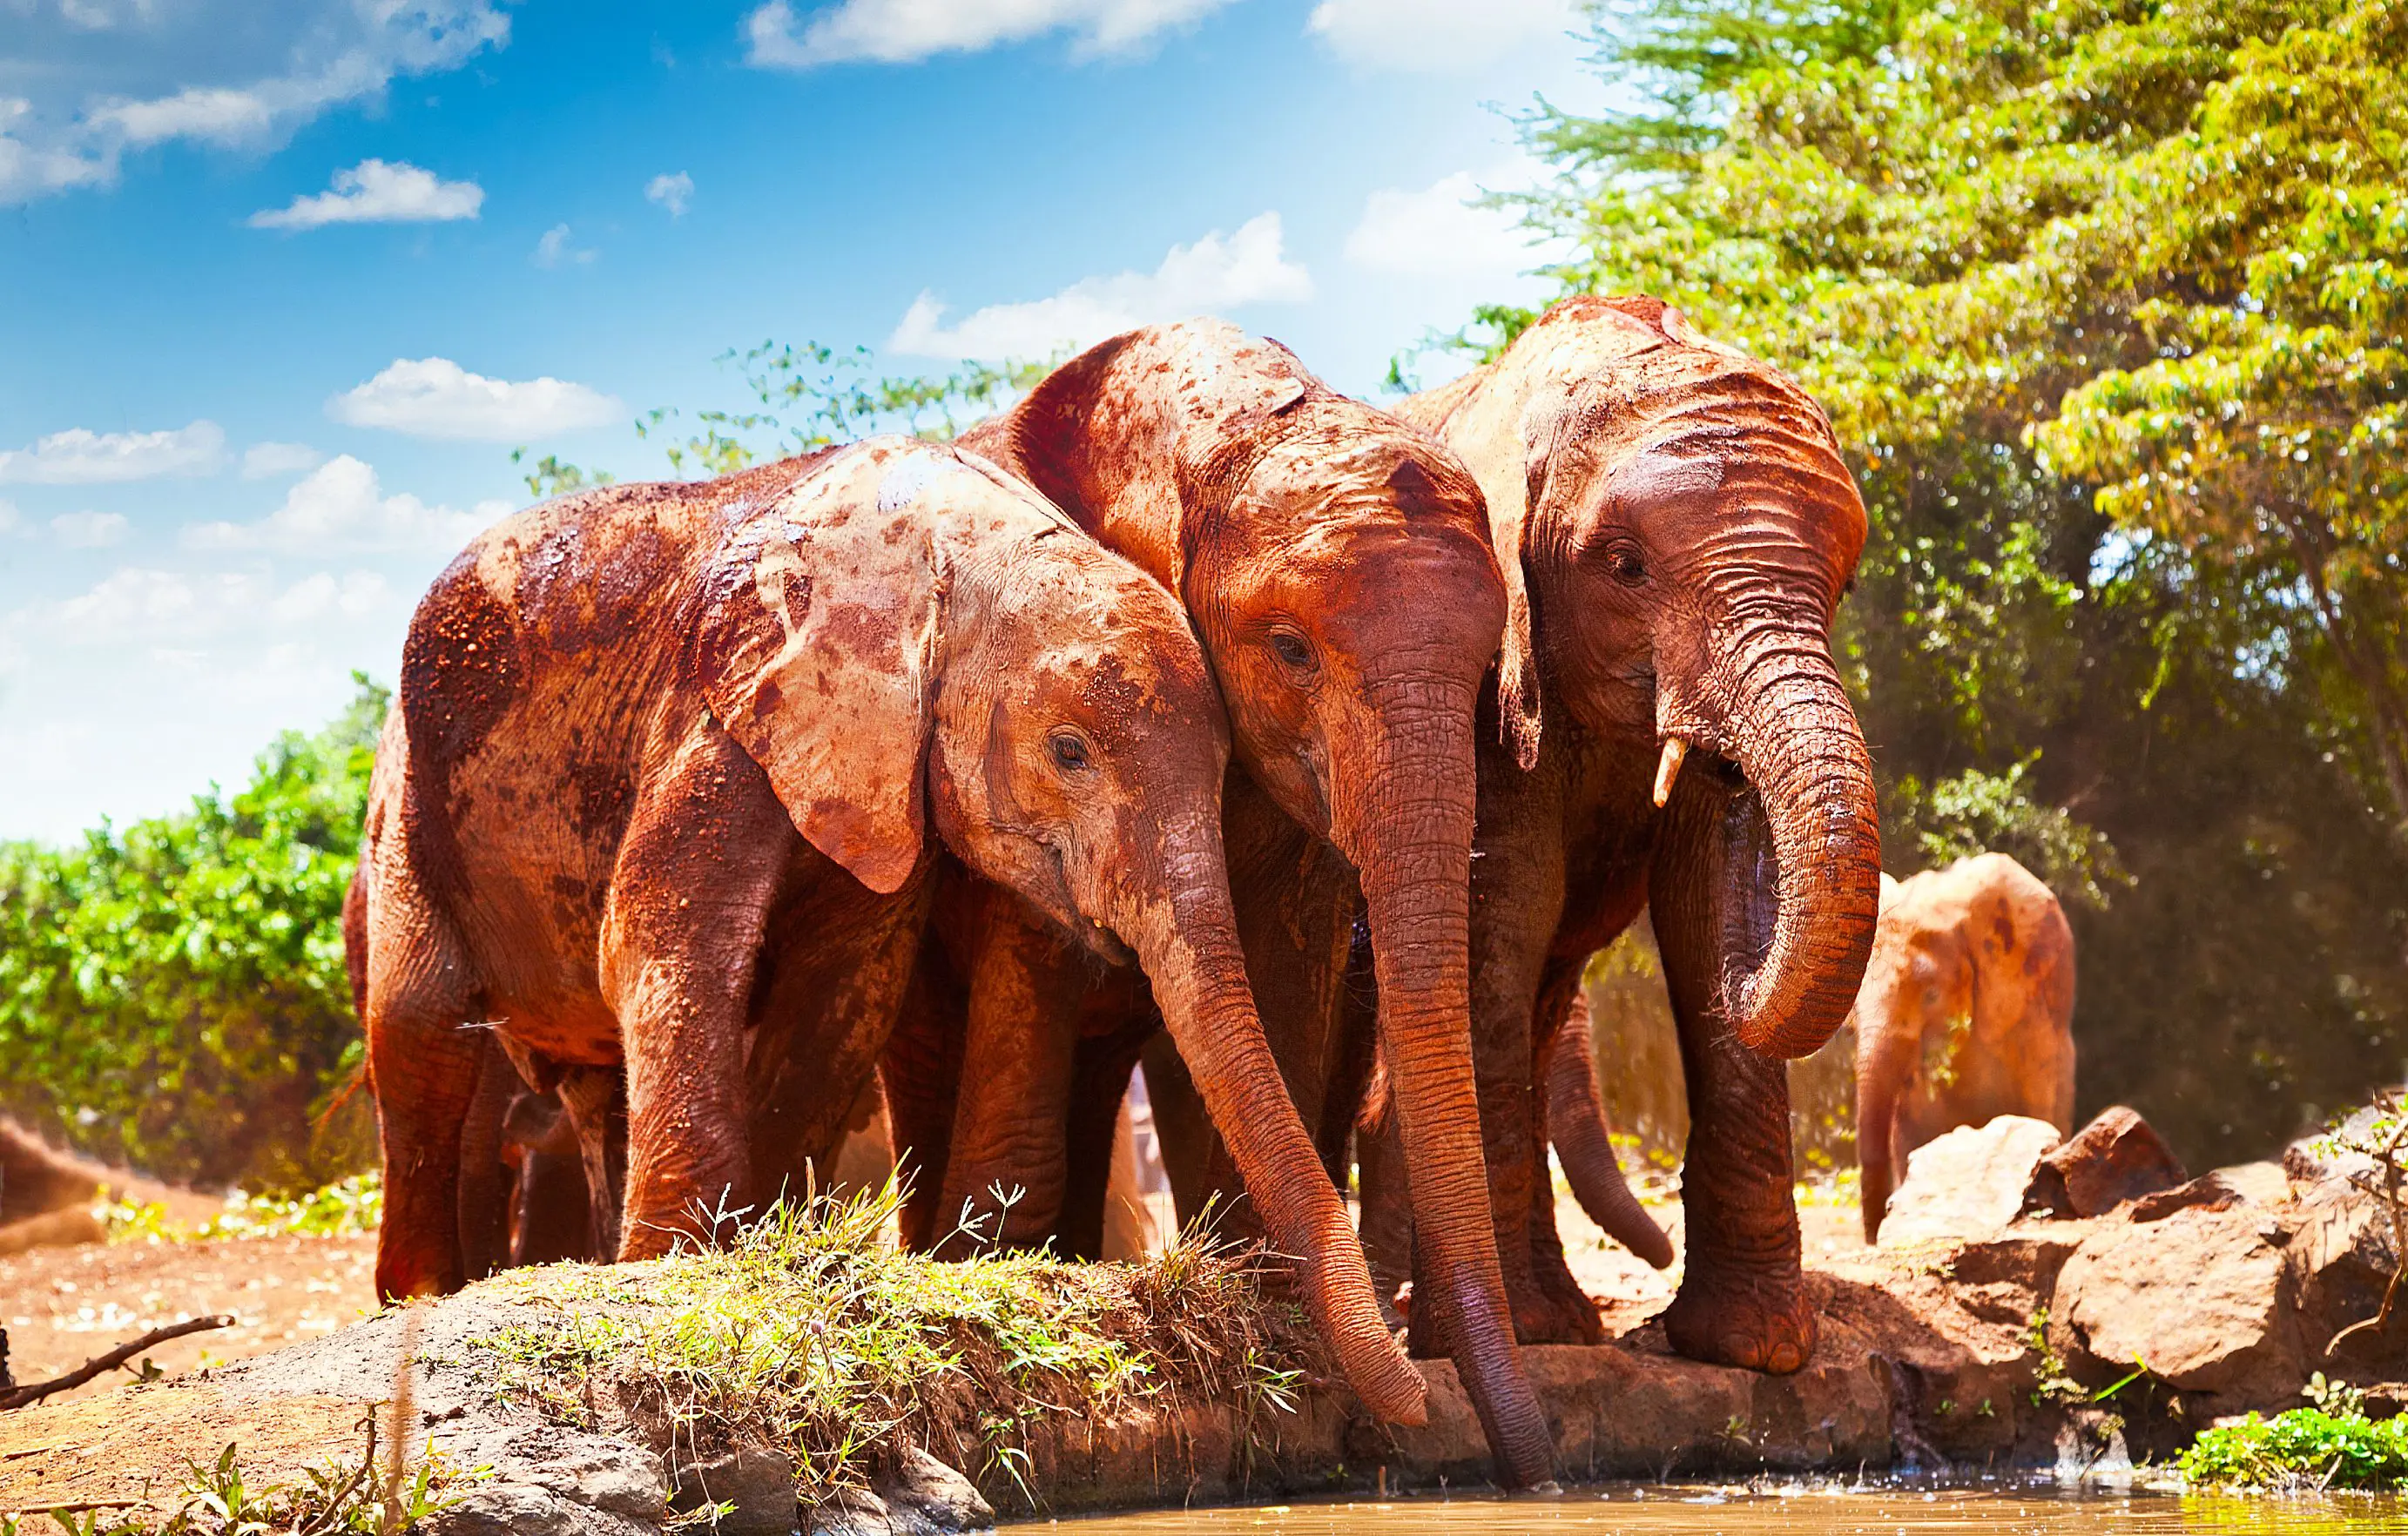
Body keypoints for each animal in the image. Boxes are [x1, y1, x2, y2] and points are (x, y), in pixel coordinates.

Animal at [348, 437, 1426, 1430]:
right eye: (1068, 752)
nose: (1415, 1395)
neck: (945, 560)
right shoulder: (719, 704)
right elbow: (663, 940)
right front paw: (677, 1275)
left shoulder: (878, 769)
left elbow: (847, 988)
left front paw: (758, 1255)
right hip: (407, 793)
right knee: (420, 1028)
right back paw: (427, 1294)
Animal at [881, 319, 1556, 1486]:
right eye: (1288, 650)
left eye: (1486, 673)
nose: (1538, 1467)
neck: (1211, 423)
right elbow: (1040, 944)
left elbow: (1289, 957)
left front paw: (1264, 1292)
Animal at [1364, 294, 1883, 1373]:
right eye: (1625, 569)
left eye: (1841, 585)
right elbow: (1500, 909)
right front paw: (1530, 1338)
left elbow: (1701, 895)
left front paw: (1749, 1349)